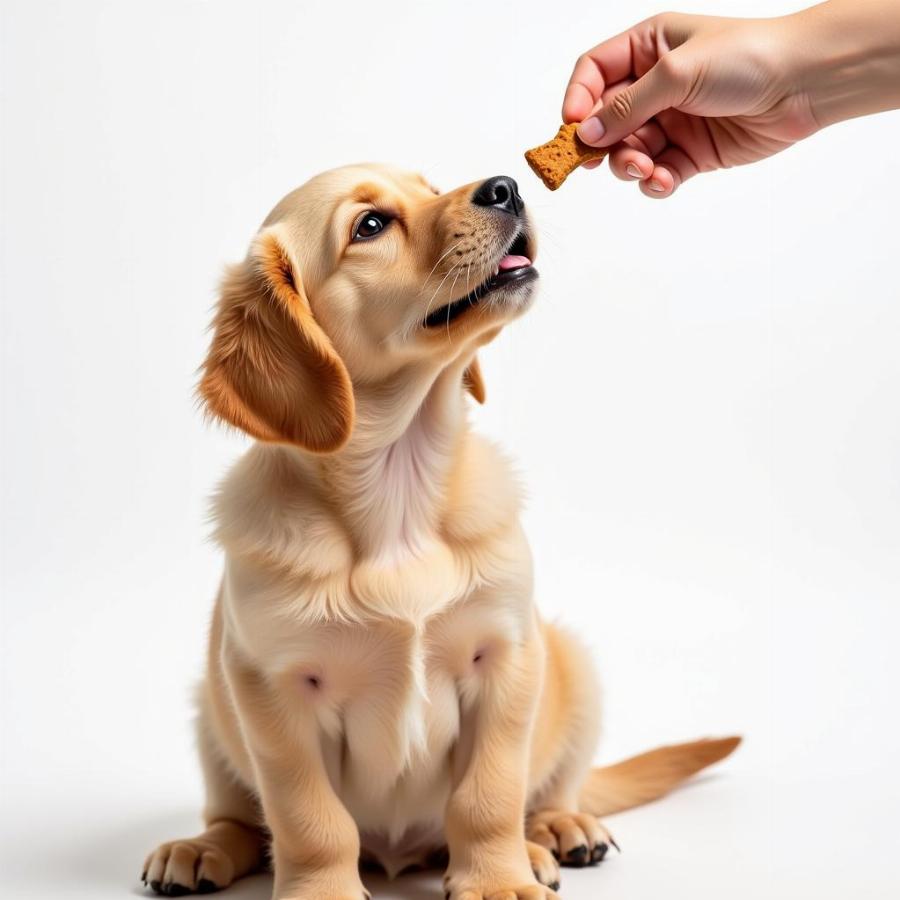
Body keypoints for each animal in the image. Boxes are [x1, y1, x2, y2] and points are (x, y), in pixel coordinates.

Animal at [142, 163, 740, 900]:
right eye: (369, 225)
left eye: (429, 187)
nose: (506, 187)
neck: (398, 487)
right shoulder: (270, 685)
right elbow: (309, 817)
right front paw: (322, 891)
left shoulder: (507, 657)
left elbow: (490, 793)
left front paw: (498, 879)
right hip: (209, 705)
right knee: (236, 816)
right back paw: (201, 848)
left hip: (574, 669)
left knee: (553, 790)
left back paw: (555, 832)